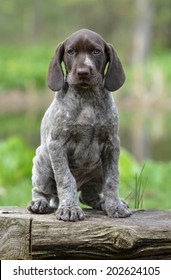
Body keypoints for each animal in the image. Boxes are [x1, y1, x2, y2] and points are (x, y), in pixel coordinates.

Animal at [27, 28, 131, 221]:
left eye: (96, 51)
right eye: (70, 51)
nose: (83, 72)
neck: (87, 97)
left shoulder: (112, 144)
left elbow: (112, 179)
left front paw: (114, 206)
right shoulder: (57, 145)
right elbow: (66, 179)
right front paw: (69, 208)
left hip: (97, 169)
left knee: (88, 195)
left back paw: (103, 202)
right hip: (43, 161)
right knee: (41, 190)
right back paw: (39, 203)